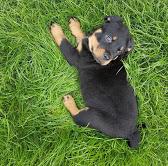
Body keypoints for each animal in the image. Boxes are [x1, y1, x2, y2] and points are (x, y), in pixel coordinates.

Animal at [50, 15, 140, 148]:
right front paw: (74, 24)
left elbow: (64, 42)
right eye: (108, 38)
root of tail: (130, 133)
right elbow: (82, 37)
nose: (108, 57)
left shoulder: (75, 57)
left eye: (119, 50)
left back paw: (69, 101)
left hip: (94, 117)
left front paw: (56, 29)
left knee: (77, 117)